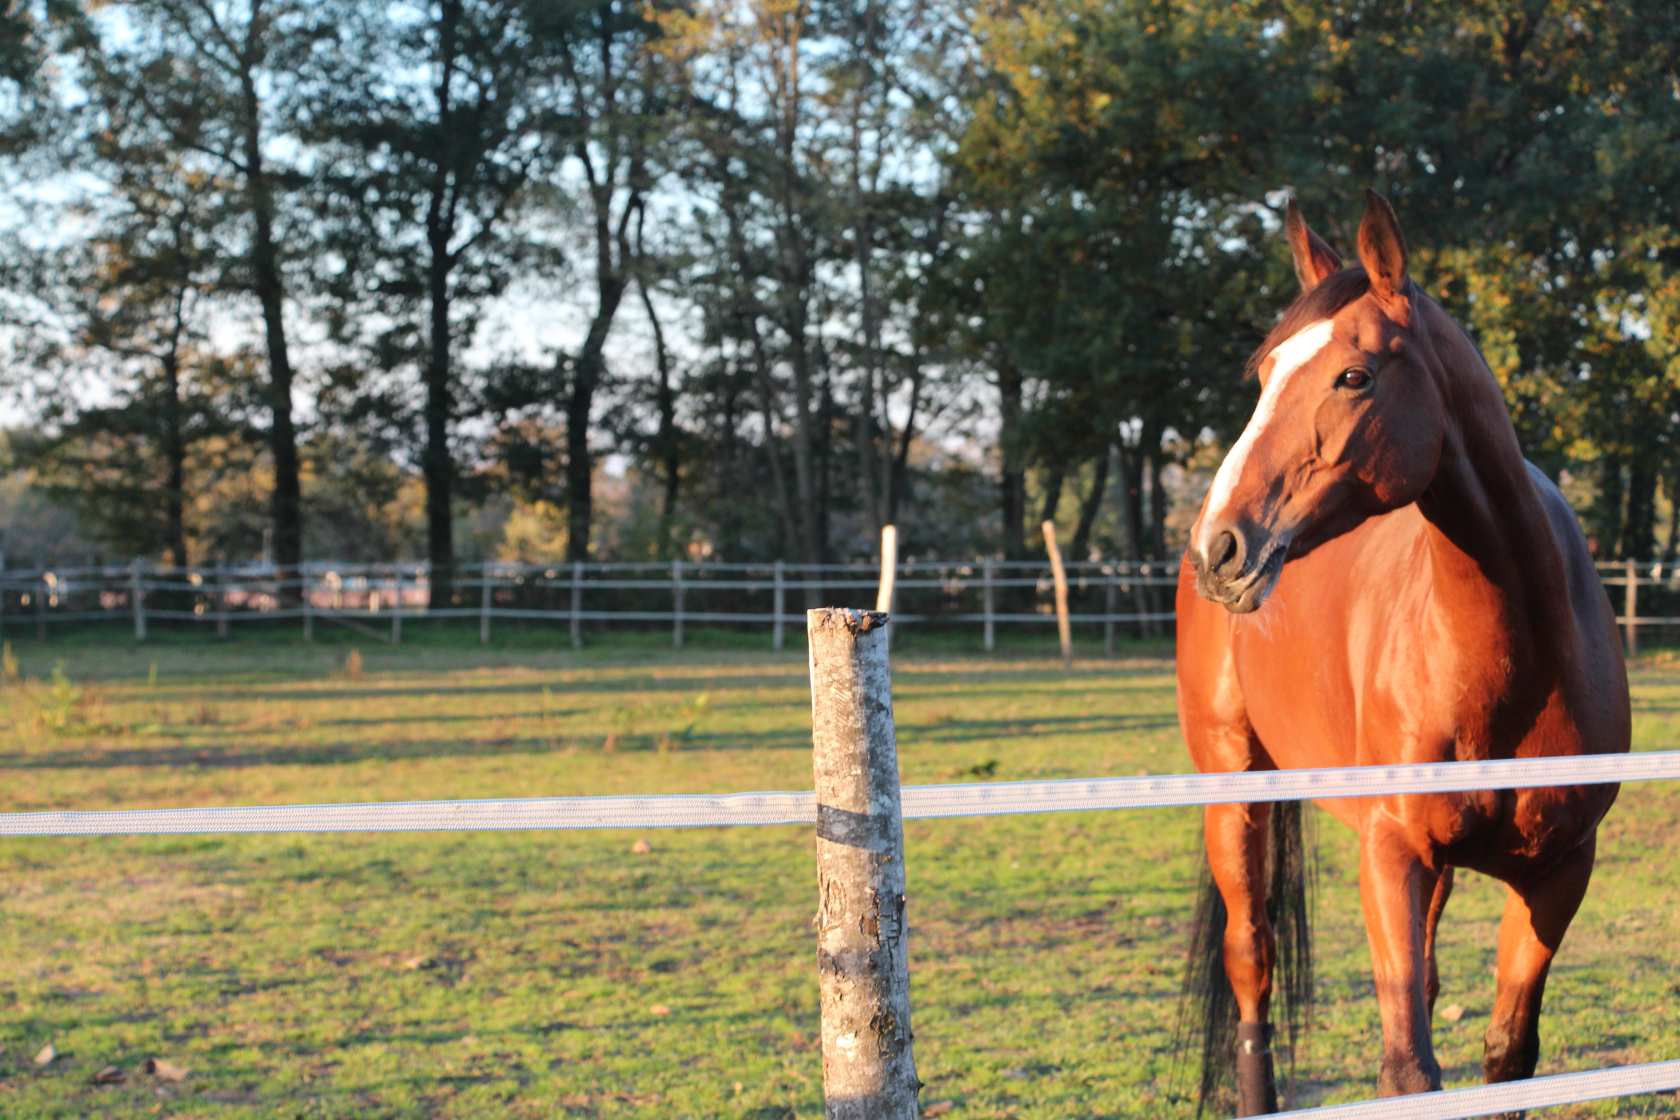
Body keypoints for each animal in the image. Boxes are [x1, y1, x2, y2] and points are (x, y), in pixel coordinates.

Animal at [1174, 189, 1630, 1116]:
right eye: (1265, 375)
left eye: (1354, 376)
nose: (1222, 548)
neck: (1518, 654)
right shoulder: (1390, 856)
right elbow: (1408, 1070)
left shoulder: (1559, 872)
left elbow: (1506, 1054)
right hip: (1233, 791)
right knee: (1252, 963)